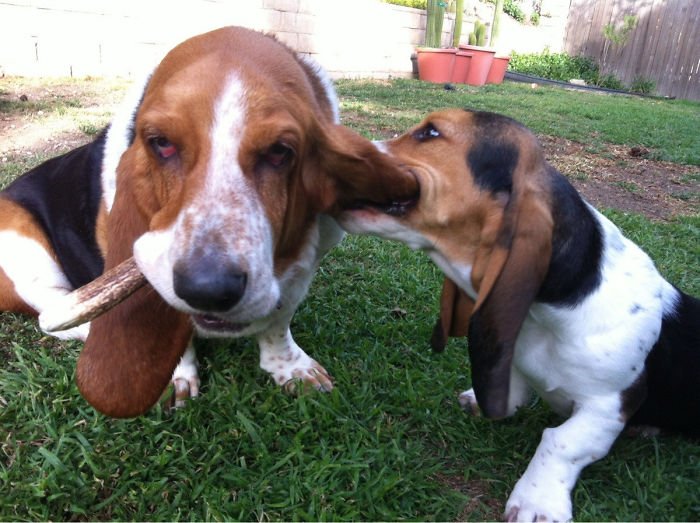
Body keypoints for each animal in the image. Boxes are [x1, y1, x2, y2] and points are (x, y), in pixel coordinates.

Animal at [0, 27, 416, 422]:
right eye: (161, 143)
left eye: (280, 151)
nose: (208, 290)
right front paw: (176, 376)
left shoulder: (307, 262)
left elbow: (279, 321)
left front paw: (291, 368)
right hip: (22, 242)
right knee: (52, 310)